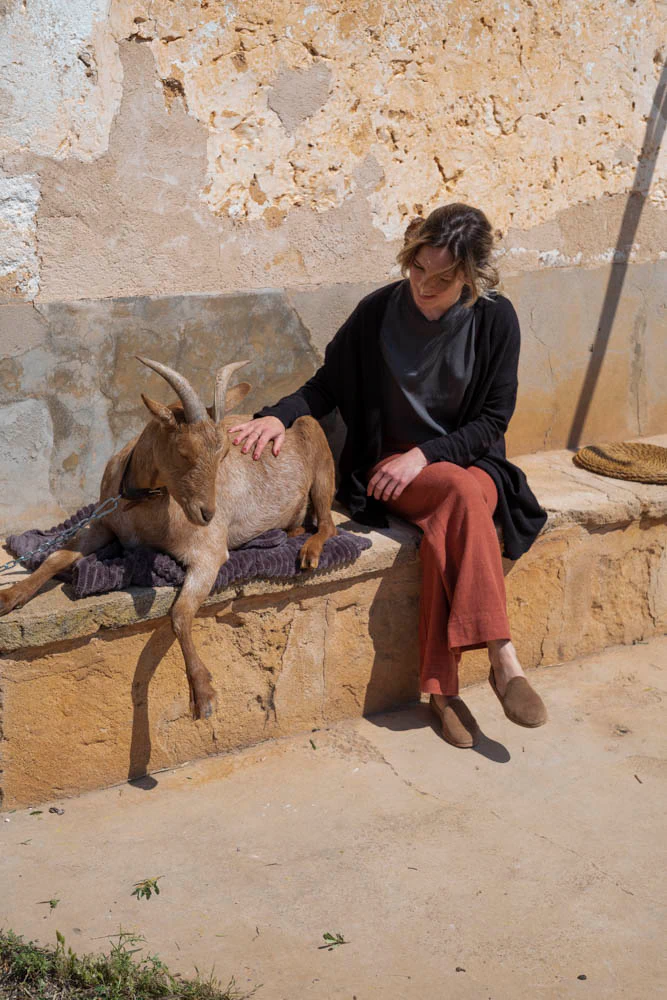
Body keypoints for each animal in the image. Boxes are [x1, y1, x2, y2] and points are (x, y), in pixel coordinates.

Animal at [0, 358, 337, 719]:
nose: (207, 513)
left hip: (319, 460)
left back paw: (308, 552)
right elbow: (56, 557)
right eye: (184, 451)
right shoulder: (102, 525)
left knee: (328, 523)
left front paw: (202, 693)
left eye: (224, 454)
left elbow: (179, 613)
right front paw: (10, 597)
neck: (140, 506)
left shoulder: (209, 552)